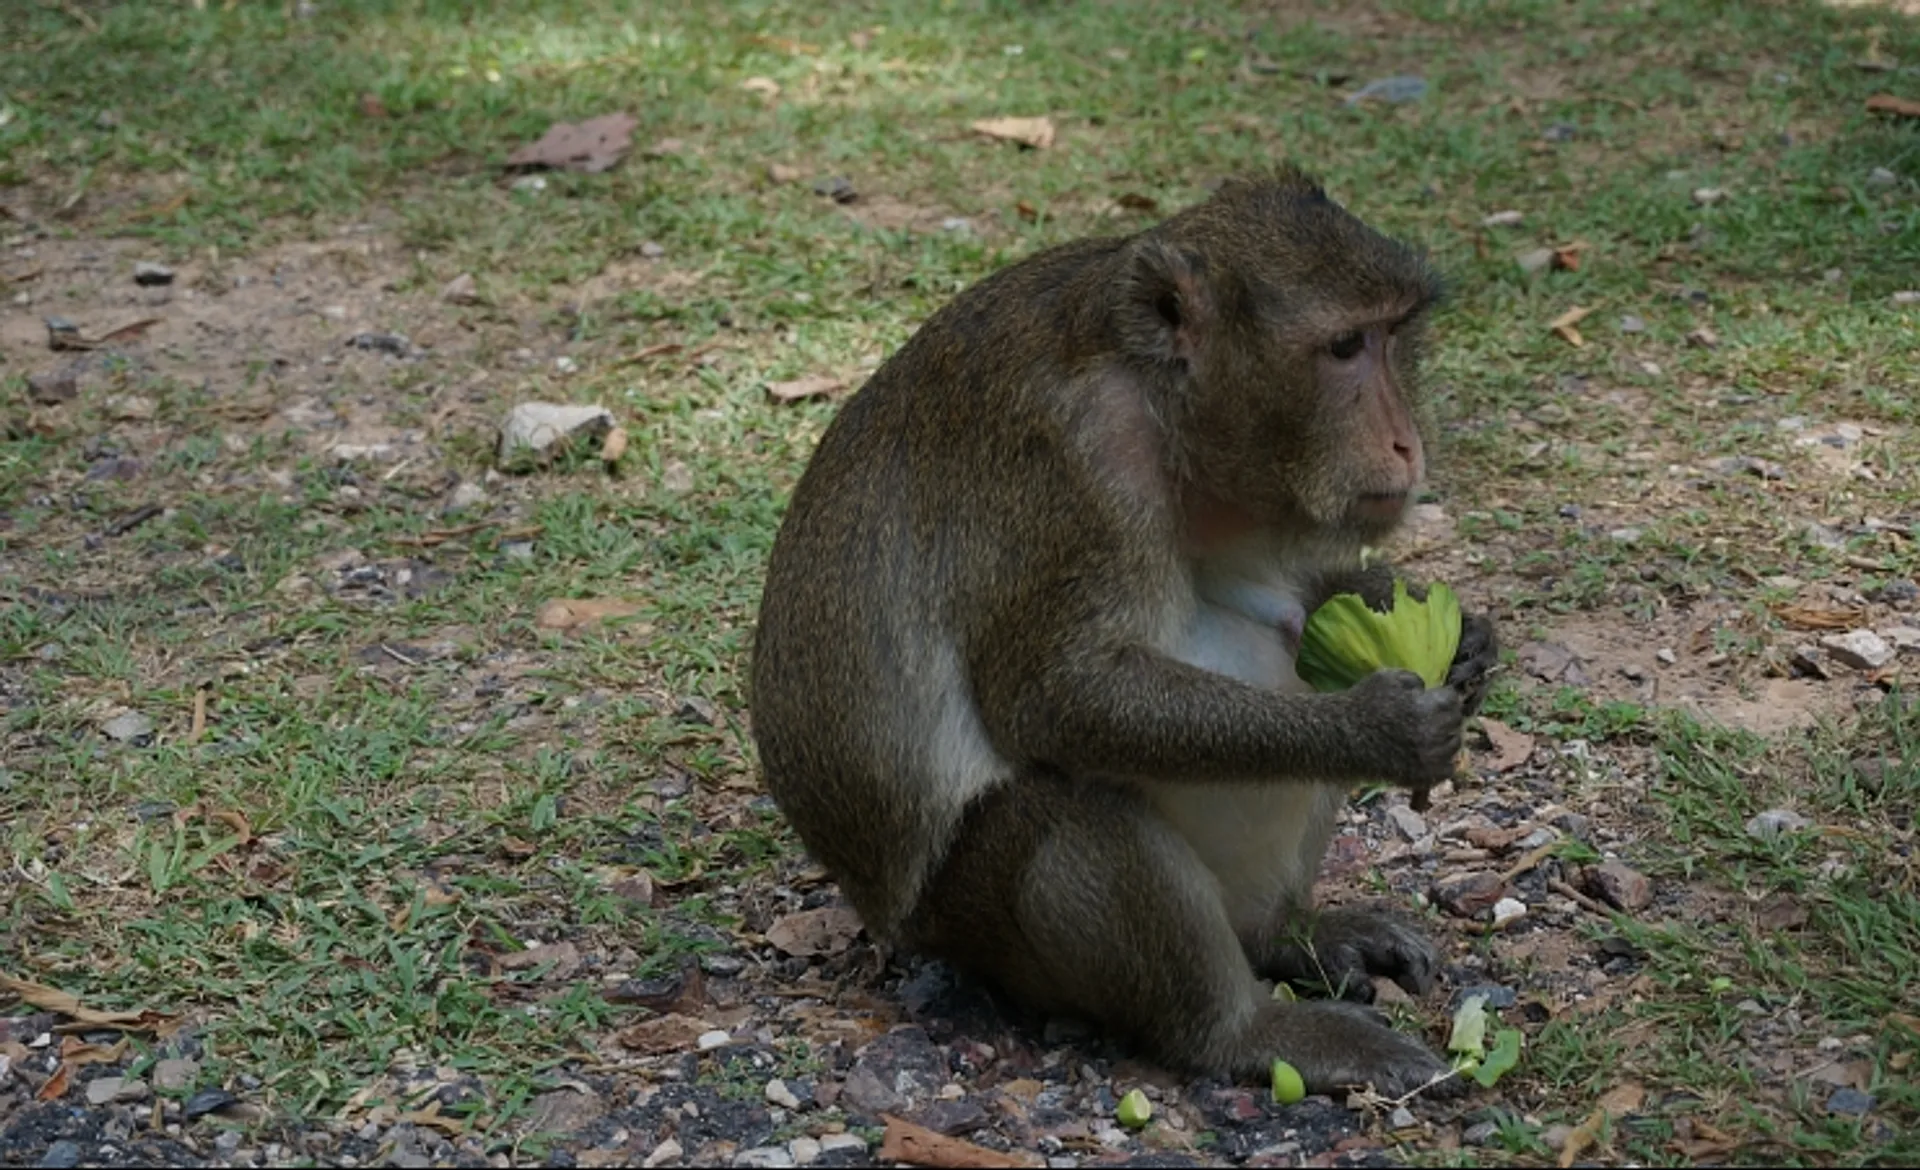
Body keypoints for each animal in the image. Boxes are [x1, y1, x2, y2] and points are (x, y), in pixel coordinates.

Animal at [750, 168, 1499, 1098]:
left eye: (1395, 336)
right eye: (1342, 348)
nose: (1406, 443)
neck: (1162, 405)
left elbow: (1294, 601)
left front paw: (1453, 631)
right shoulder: (1069, 470)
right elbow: (1055, 700)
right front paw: (1378, 728)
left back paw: (1290, 937)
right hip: (974, 923)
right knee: (1069, 812)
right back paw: (1245, 1030)